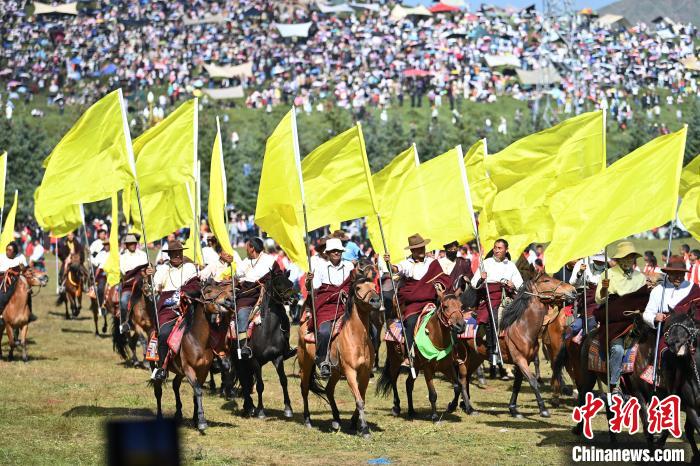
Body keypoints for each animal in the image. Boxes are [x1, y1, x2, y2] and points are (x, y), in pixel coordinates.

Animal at [152, 280, 232, 433]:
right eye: (208, 291)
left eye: (219, 287)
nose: (229, 300)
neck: (197, 340)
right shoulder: (189, 369)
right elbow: (198, 391)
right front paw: (201, 422)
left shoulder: (203, 370)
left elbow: (196, 392)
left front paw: (196, 419)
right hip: (159, 367)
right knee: (158, 391)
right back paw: (159, 417)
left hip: (180, 372)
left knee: (175, 385)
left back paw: (178, 413)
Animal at [232, 271, 297, 419]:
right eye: (278, 283)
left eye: (290, 282)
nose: (294, 299)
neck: (267, 331)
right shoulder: (255, 360)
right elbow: (260, 385)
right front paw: (261, 411)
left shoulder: (278, 357)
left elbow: (283, 380)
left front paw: (288, 409)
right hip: (240, 362)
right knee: (244, 381)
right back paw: (249, 408)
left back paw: (249, 407)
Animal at [298, 276, 381, 436]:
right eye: (358, 288)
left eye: (375, 286)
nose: (375, 300)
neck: (357, 338)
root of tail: (305, 322)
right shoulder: (350, 372)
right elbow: (359, 400)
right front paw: (365, 429)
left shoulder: (365, 373)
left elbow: (361, 398)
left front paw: (355, 423)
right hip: (305, 363)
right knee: (304, 389)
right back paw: (307, 420)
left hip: (336, 372)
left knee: (329, 390)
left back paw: (336, 419)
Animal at [377, 294, 467, 422]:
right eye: (445, 306)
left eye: (461, 306)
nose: (461, 325)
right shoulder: (428, 369)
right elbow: (433, 394)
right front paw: (435, 416)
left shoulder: (447, 367)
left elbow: (458, 386)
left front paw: (451, 406)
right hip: (395, 361)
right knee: (393, 380)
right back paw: (396, 408)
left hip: (416, 366)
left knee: (408, 384)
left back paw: (411, 411)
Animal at [450, 273, 577, 418]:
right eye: (546, 280)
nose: (573, 291)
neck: (523, 327)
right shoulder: (520, 360)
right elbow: (533, 382)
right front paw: (543, 409)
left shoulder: (523, 361)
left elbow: (517, 384)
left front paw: (513, 409)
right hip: (461, 356)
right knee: (461, 379)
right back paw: (468, 408)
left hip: (476, 357)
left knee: (466, 378)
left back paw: (461, 405)